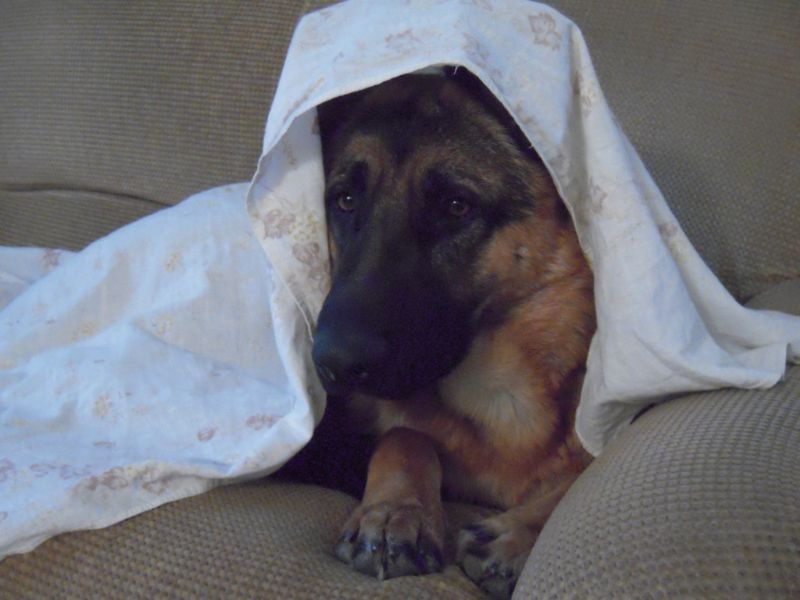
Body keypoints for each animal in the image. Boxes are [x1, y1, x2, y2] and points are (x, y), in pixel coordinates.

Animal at [312, 69, 595, 598]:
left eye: (456, 206)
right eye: (345, 200)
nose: (334, 363)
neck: (499, 397)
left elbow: (581, 471)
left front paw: (515, 534)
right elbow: (404, 436)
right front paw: (394, 513)